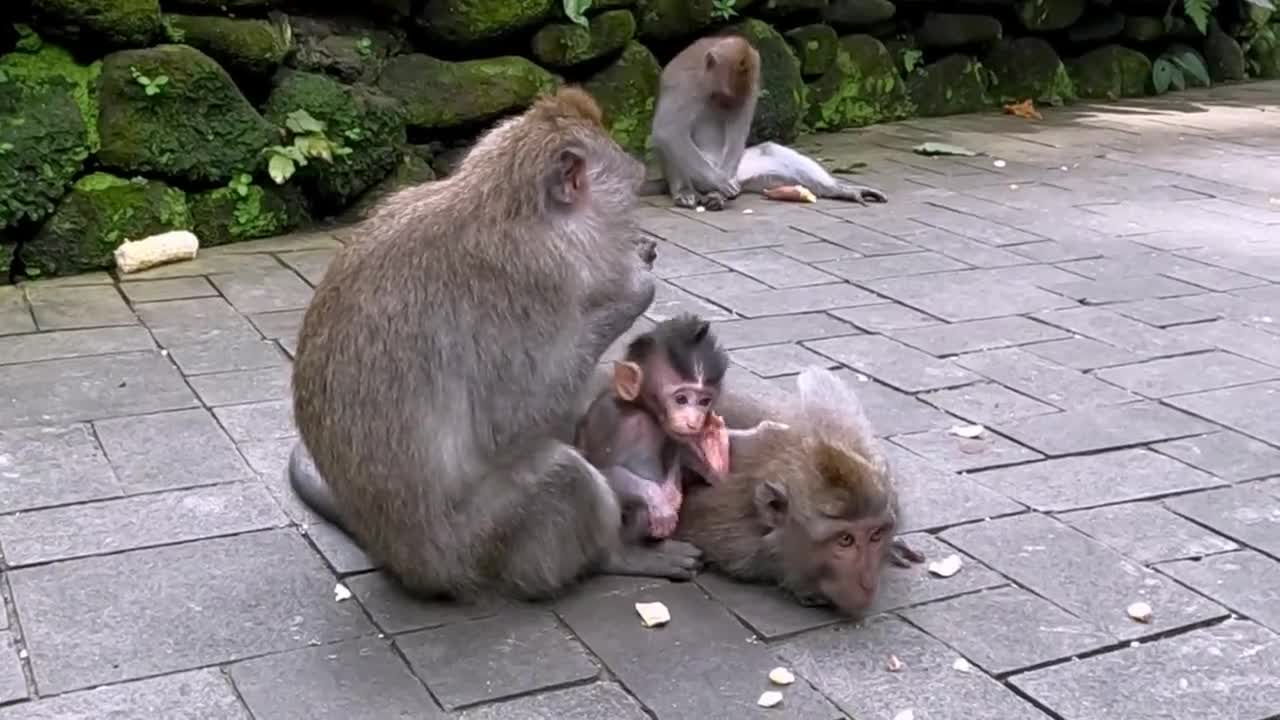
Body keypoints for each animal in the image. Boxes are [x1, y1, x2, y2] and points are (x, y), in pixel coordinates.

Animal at [286, 85, 706, 604]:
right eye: (630, 200)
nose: (643, 240)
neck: (515, 212)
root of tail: (401, 560)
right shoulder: (533, 286)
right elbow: (508, 420)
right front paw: (633, 284)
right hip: (473, 544)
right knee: (561, 475)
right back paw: (616, 556)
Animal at [578, 311, 737, 540]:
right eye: (681, 399)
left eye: (704, 401)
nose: (693, 422)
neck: (640, 407)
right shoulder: (630, 424)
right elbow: (602, 472)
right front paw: (659, 501)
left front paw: (714, 445)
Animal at [645, 34, 885, 210]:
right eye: (722, 96)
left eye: (730, 101)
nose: (726, 105)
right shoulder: (685, 84)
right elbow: (667, 130)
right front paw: (718, 183)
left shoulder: (753, 83)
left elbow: (739, 127)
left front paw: (720, 186)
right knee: (672, 144)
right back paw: (687, 191)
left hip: (746, 172)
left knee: (771, 151)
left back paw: (841, 191)